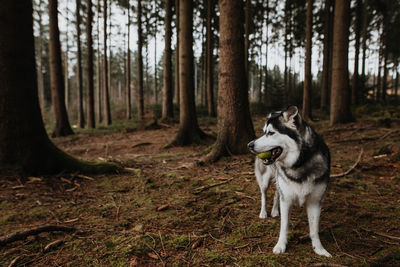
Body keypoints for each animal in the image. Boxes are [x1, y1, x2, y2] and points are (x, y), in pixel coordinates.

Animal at [247, 106, 332, 258]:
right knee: (264, 195)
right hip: (265, 180)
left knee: (276, 194)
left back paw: (275, 211)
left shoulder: (315, 201)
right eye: (264, 132)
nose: (249, 145)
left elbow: (314, 229)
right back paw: (263, 212)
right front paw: (281, 246)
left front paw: (319, 249)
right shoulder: (286, 200)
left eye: (271, 133)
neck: (299, 163)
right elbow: (284, 226)